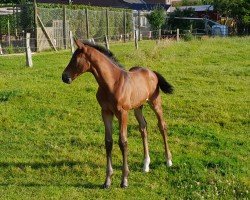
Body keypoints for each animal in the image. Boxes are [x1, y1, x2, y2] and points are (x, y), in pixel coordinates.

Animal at [61, 39, 173, 188]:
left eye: (76, 59)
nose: (64, 77)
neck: (112, 83)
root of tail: (151, 72)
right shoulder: (106, 112)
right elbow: (108, 142)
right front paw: (107, 180)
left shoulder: (122, 113)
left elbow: (123, 142)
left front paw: (124, 179)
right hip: (138, 107)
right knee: (143, 128)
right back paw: (146, 165)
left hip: (155, 103)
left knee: (162, 126)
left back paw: (168, 160)